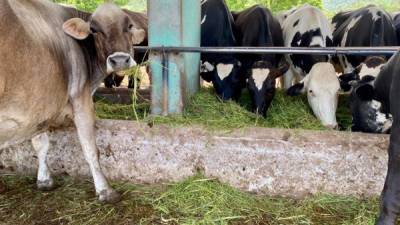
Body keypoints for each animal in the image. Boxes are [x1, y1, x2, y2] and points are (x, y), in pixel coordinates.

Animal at [0, 0, 146, 203]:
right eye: (94, 29)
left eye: (129, 26)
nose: (119, 60)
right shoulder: (81, 98)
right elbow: (90, 149)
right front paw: (106, 191)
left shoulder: (41, 104)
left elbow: (40, 144)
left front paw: (44, 180)